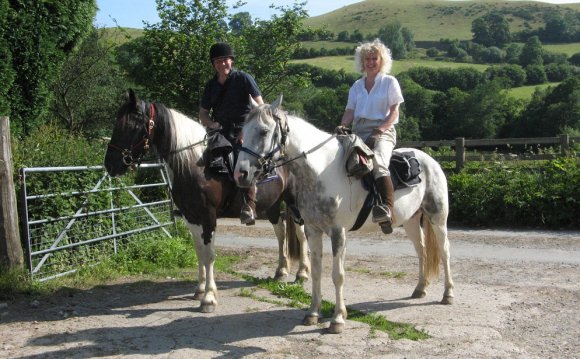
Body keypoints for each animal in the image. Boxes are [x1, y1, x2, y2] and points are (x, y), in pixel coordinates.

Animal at [106, 90, 310, 316]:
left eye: (131, 126)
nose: (110, 164)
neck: (195, 165)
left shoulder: (208, 216)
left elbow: (210, 255)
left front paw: (209, 298)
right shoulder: (190, 217)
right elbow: (199, 253)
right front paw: (200, 289)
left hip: (293, 203)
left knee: (301, 233)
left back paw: (302, 273)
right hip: (273, 205)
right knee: (281, 232)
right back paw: (281, 271)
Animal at [234, 96, 454, 334]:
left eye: (264, 131)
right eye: (243, 130)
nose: (241, 174)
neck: (321, 171)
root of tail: (429, 160)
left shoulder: (338, 232)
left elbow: (337, 275)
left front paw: (338, 319)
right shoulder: (313, 231)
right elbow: (317, 272)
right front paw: (312, 313)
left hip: (438, 217)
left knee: (444, 251)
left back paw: (448, 294)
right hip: (412, 221)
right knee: (422, 251)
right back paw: (420, 289)